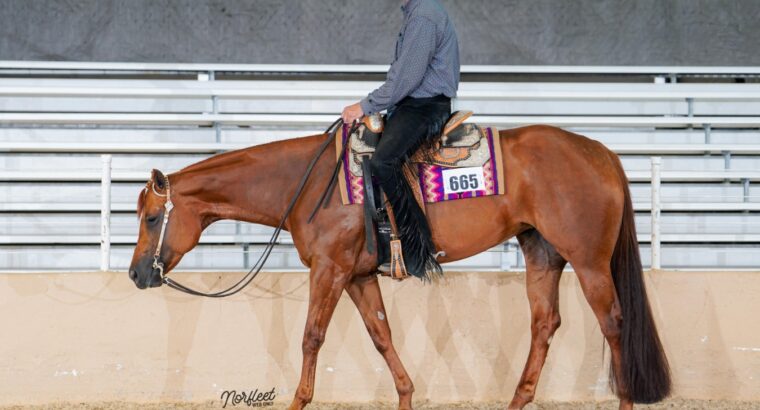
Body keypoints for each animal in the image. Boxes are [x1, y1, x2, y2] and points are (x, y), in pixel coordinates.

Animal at [128, 123, 671, 410]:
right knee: (545, 323)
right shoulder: (357, 275)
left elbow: (311, 337)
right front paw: (407, 394)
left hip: (590, 261)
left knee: (613, 323)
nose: (136, 274)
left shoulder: (330, 269)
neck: (305, 183)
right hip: (542, 253)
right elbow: (381, 335)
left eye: (153, 217)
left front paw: (298, 400)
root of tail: (600, 151)